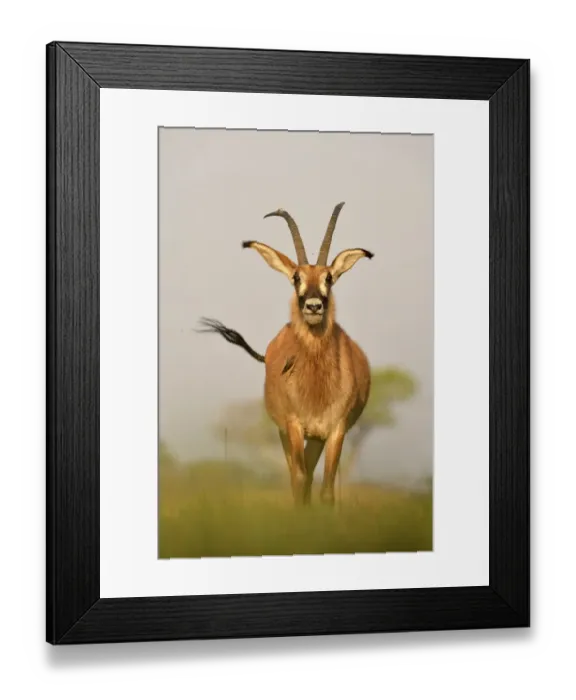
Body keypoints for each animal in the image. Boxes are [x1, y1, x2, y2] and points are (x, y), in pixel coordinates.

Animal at [198, 202, 373, 506]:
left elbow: (326, 490)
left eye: (329, 277)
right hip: (286, 432)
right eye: (296, 277)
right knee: (298, 476)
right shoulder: (293, 426)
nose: (313, 306)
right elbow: (299, 480)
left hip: (315, 438)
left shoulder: (335, 430)